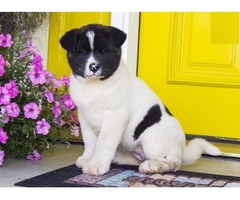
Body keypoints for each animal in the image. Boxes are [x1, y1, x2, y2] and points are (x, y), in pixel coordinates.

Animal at [59, 23, 221, 175]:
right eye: (82, 52)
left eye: (104, 51)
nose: (94, 67)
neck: (95, 86)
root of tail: (181, 148)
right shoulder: (84, 117)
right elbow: (90, 141)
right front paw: (88, 159)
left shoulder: (115, 117)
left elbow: (104, 142)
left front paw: (96, 164)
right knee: (138, 160)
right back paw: (119, 158)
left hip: (153, 139)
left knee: (173, 163)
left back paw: (154, 165)